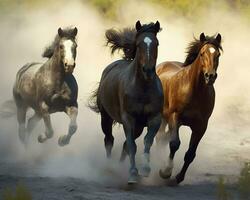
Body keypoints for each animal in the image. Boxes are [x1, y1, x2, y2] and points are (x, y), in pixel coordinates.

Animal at [89, 21, 163, 184]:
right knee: (109, 140)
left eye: (156, 43)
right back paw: (110, 167)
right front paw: (133, 174)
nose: (148, 70)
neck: (143, 89)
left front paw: (145, 169)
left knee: (124, 145)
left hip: (139, 127)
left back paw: (120, 166)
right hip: (106, 117)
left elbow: (147, 141)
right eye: (139, 44)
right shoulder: (128, 119)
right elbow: (131, 145)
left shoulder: (154, 119)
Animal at [156, 32, 223, 185]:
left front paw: (179, 177)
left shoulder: (201, 126)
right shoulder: (175, 117)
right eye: (202, 54)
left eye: (218, 55)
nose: (210, 76)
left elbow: (191, 154)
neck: (195, 91)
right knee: (159, 137)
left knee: (161, 137)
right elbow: (174, 144)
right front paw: (165, 172)